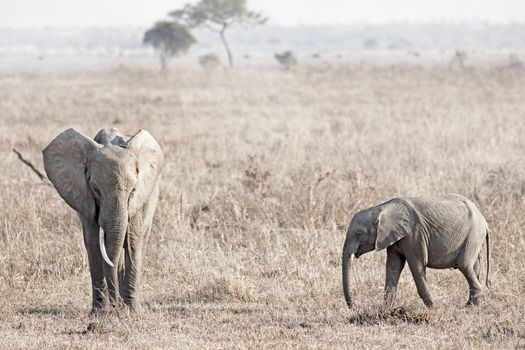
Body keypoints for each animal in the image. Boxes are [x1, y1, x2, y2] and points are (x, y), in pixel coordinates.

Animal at [43, 127, 164, 314]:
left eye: (133, 190)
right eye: (95, 189)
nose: (116, 307)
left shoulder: (138, 199)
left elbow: (132, 241)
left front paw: (131, 311)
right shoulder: (84, 197)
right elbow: (93, 242)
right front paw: (99, 313)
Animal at [342, 196, 490, 308]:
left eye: (359, 234)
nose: (353, 307)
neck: (382, 208)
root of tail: (484, 220)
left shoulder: (414, 236)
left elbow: (417, 266)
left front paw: (432, 307)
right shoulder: (395, 238)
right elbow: (393, 266)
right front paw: (386, 309)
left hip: (473, 235)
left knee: (464, 265)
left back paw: (470, 306)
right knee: (474, 267)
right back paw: (472, 305)